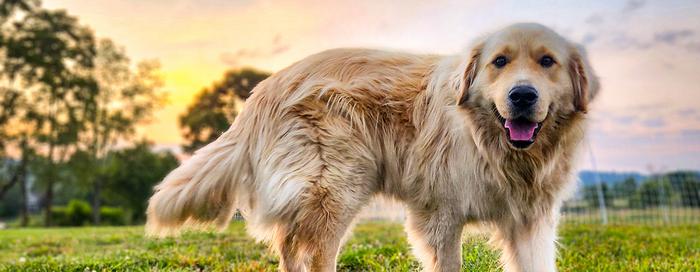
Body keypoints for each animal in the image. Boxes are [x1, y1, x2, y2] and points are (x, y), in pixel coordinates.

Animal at [146, 23, 596, 272]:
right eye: (499, 61)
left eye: (547, 62)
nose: (522, 96)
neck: (488, 141)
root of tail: (263, 90)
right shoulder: (440, 214)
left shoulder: (530, 221)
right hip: (336, 190)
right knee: (314, 255)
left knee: (290, 248)